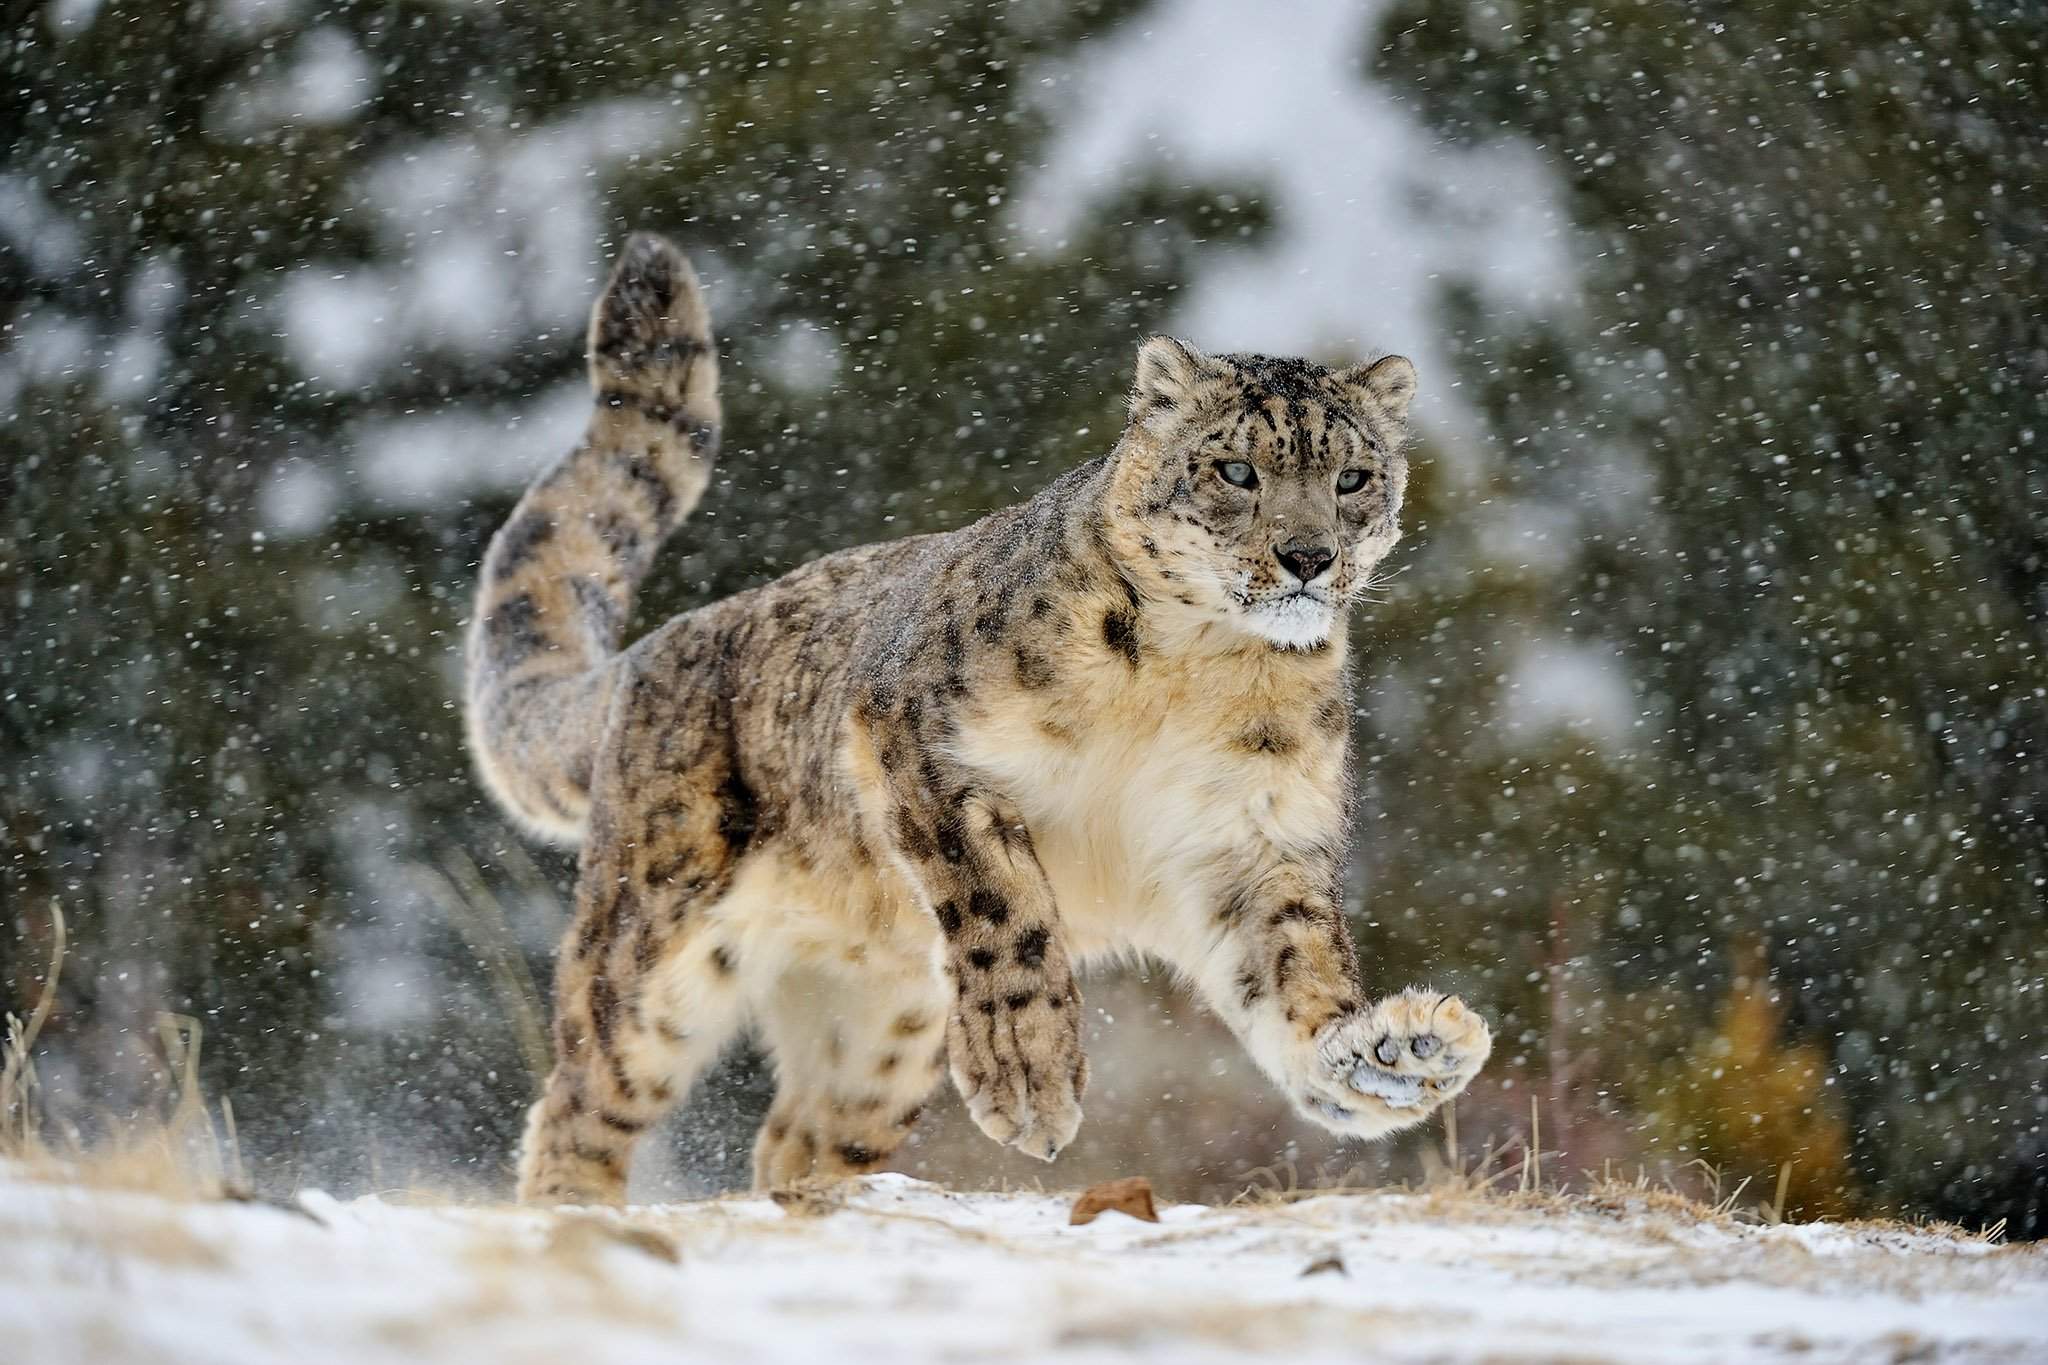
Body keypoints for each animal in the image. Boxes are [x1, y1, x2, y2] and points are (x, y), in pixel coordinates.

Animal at [468, 235, 1490, 1203]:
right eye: (1236, 469)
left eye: (1354, 477)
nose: (1308, 555)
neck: (1202, 669)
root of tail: (647, 653)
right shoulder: (922, 737)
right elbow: (1004, 901)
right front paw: (1029, 1074)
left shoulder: (1253, 842)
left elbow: (1294, 966)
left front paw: (1391, 1054)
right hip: (655, 946)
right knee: (582, 1098)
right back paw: (576, 1217)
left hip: (882, 1030)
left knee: (798, 1133)